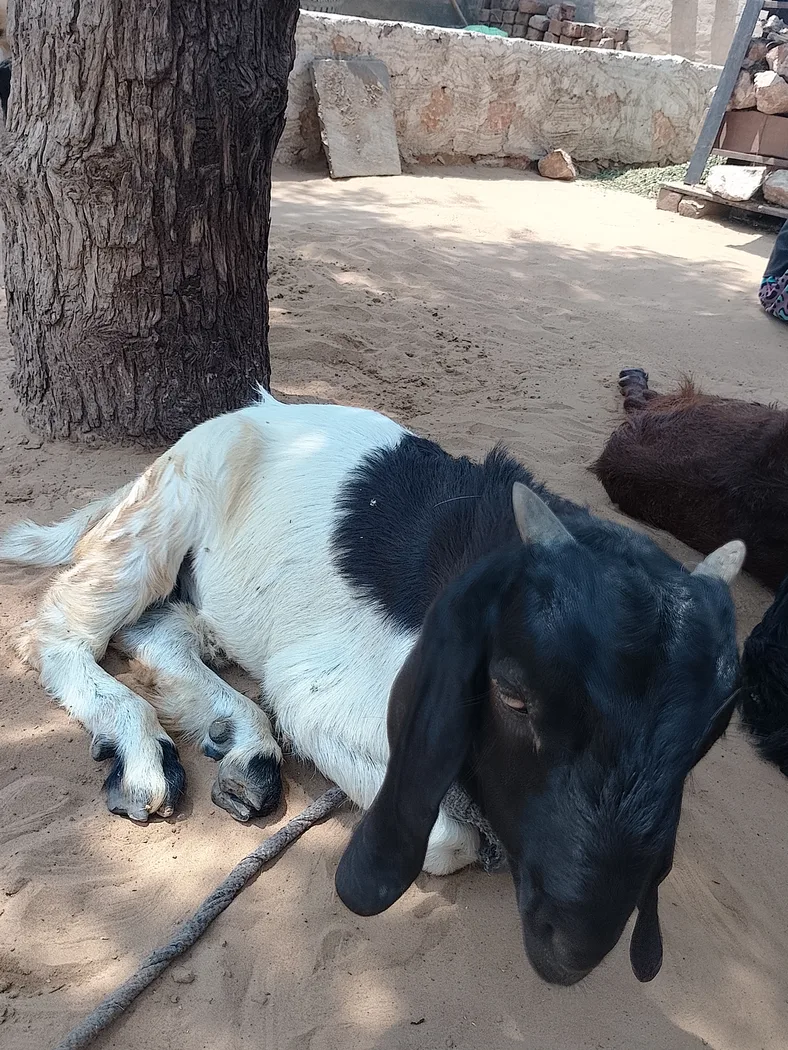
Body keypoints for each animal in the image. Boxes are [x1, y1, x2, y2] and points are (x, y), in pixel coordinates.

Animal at [0, 392, 745, 985]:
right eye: (514, 694)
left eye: (705, 740)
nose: (577, 945)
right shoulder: (315, 693)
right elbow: (446, 836)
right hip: (160, 520)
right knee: (64, 630)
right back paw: (144, 756)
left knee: (160, 633)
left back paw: (243, 746)